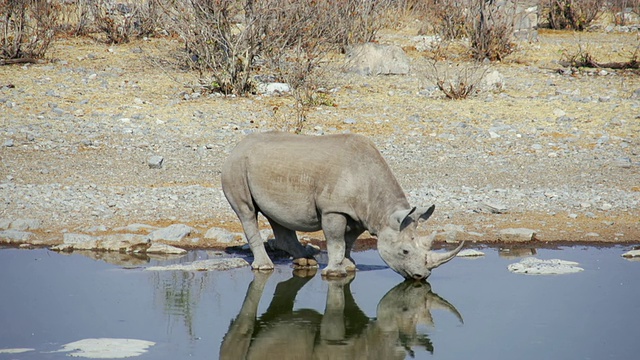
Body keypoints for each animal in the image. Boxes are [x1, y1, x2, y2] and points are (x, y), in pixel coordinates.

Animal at [222, 131, 462, 280]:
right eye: (404, 251)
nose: (422, 276)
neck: (382, 213)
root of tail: (238, 145)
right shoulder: (333, 209)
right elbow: (336, 239)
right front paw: (334, 273)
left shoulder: (360, 214)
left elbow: (349, 240)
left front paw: (348, 266)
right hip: (236, 165)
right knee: (247, 212)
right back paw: (265, 267)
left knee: (277, 215)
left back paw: (306, 262)